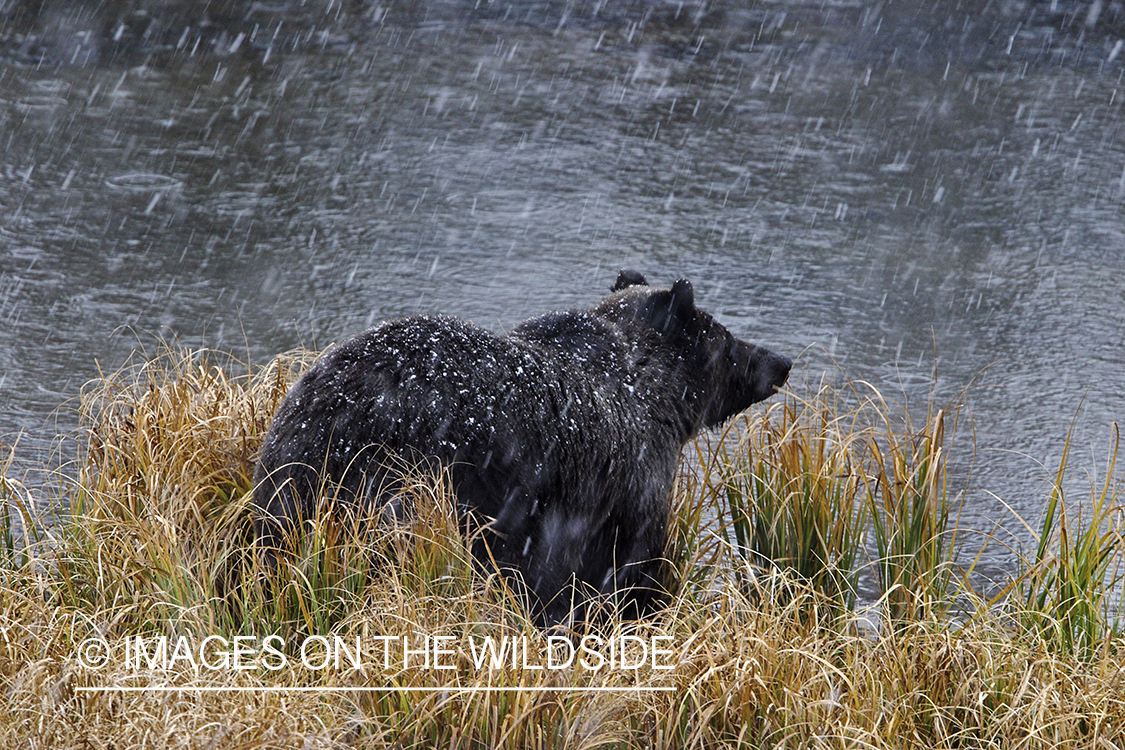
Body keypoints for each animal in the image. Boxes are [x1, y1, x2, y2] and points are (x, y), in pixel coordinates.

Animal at [253, 271, 791, 626]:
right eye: (727, 340)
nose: (780, 361)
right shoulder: (624, 488)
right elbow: (623, 572)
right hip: (395, 475)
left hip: (292, 472)